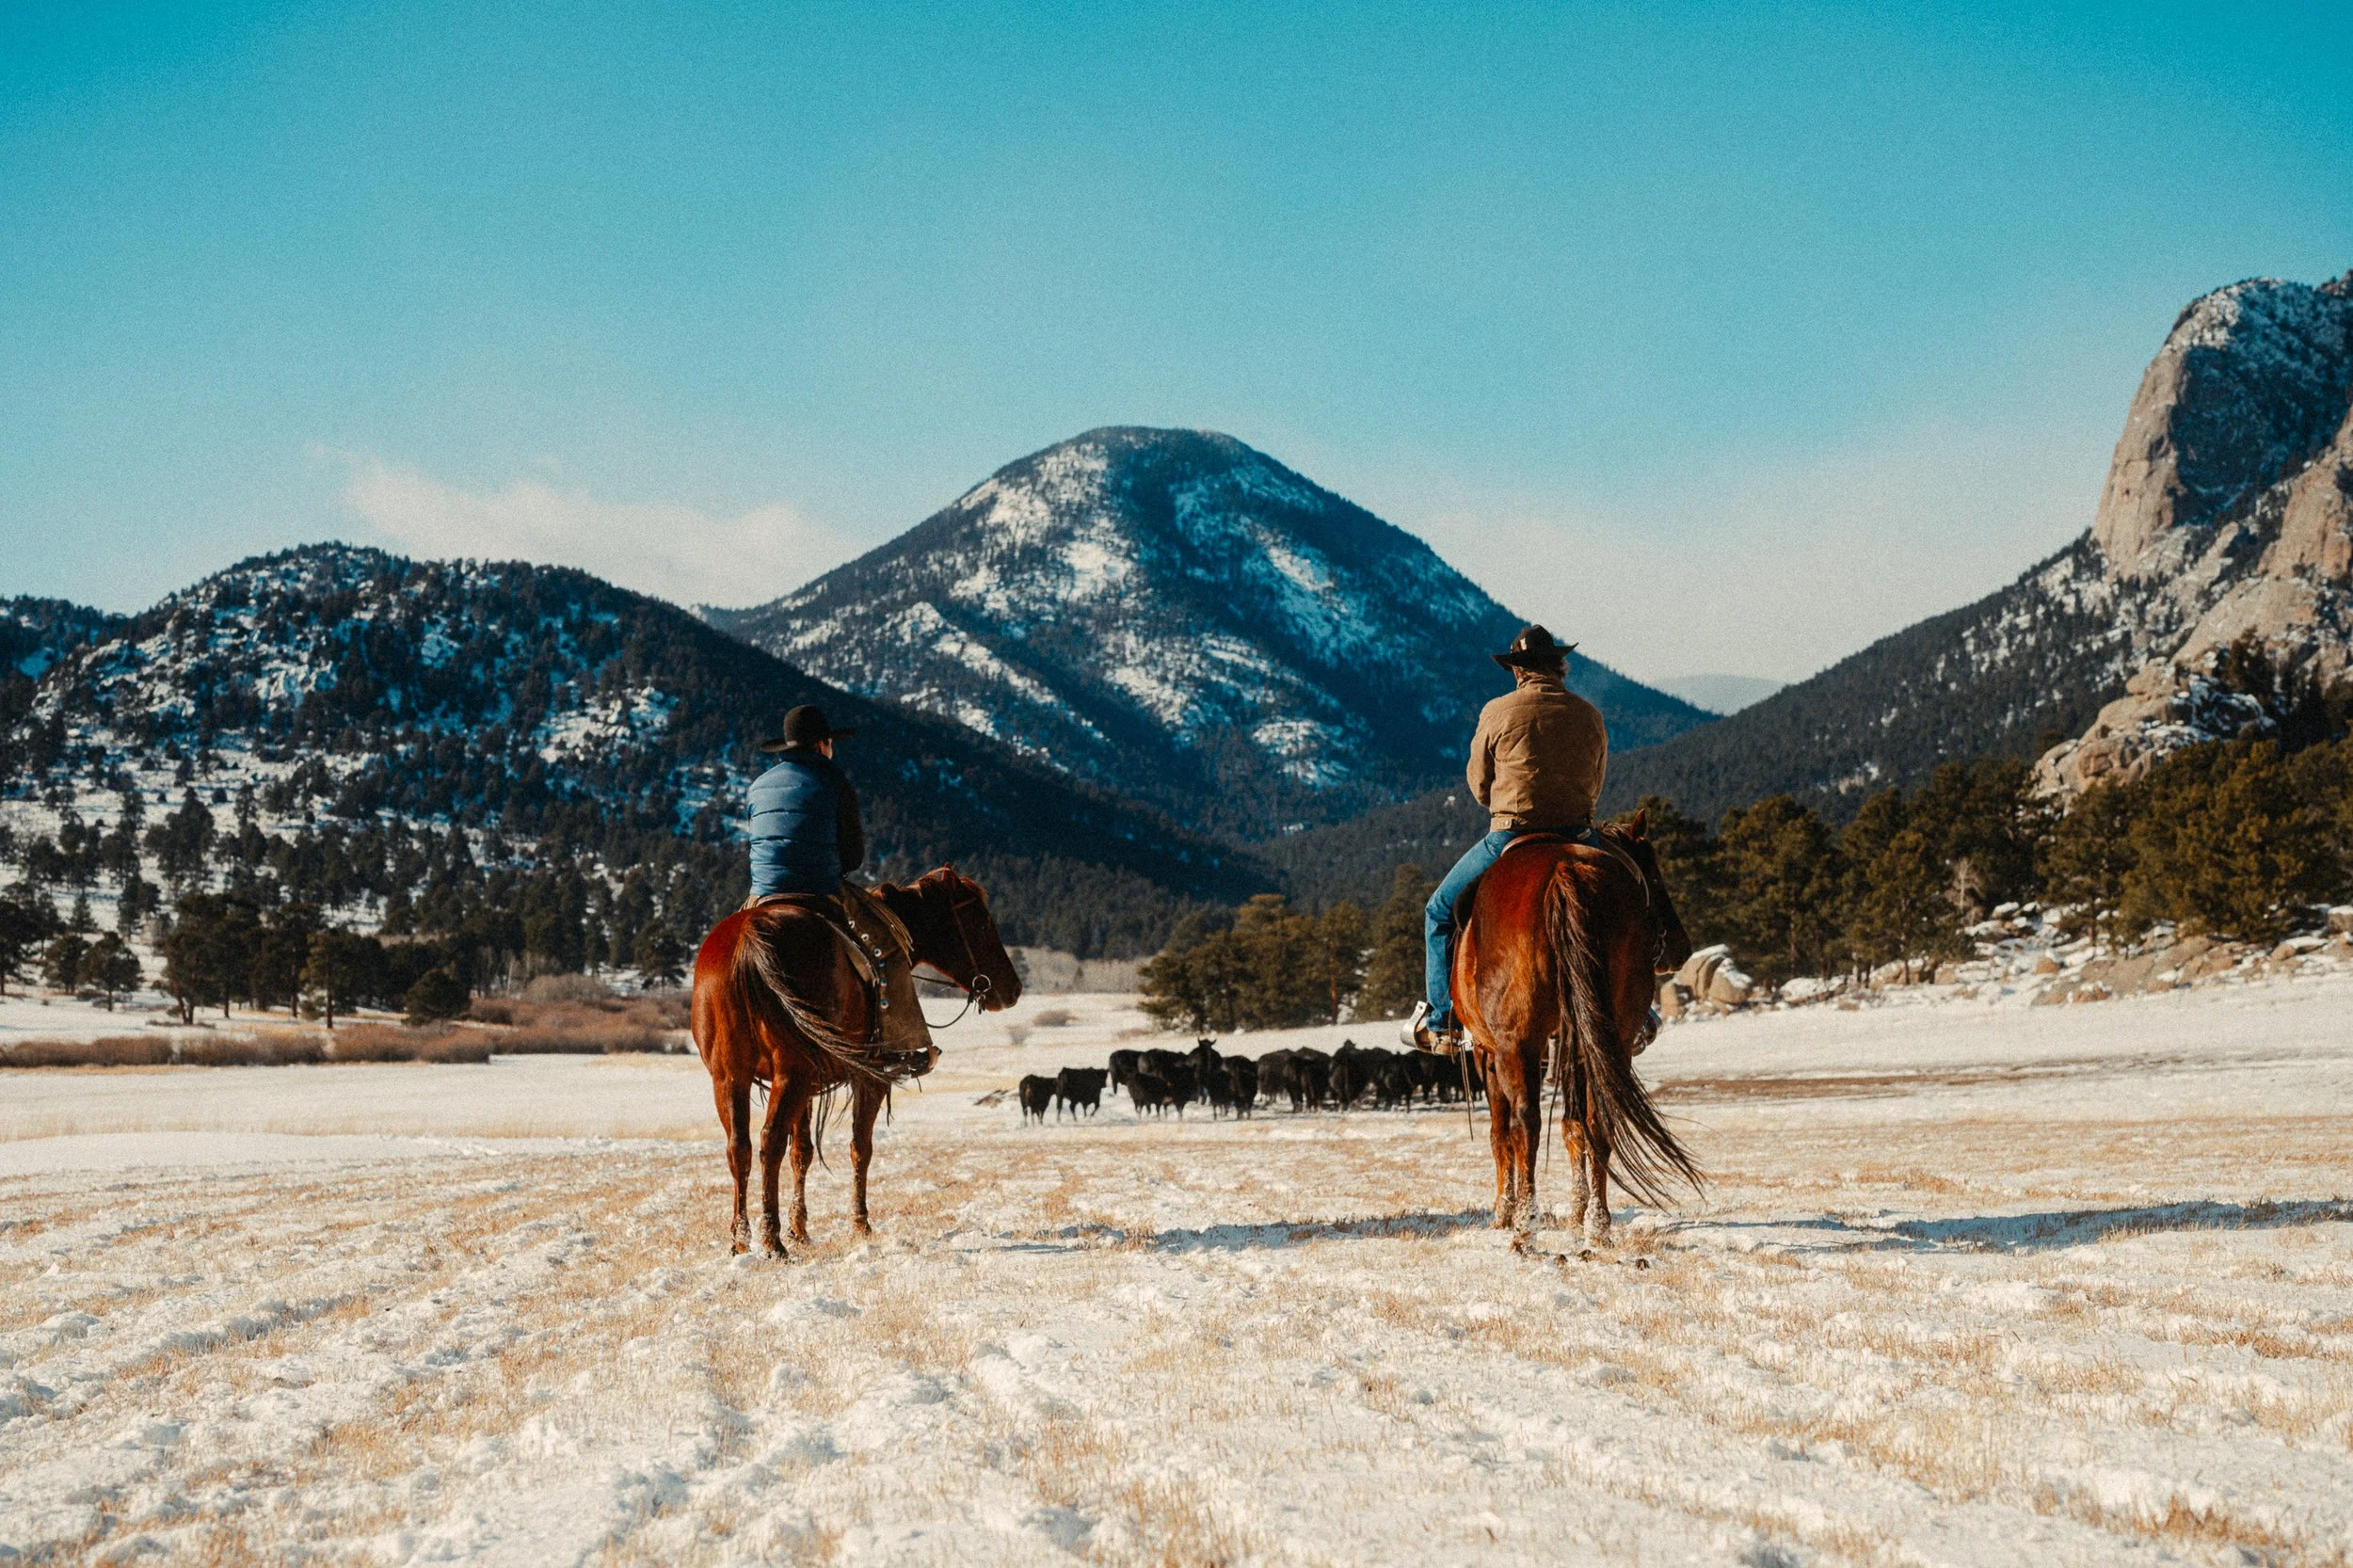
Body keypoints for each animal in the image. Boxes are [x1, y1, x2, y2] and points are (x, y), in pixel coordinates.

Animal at [691, 865, 1022, 1256]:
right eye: (981, 921)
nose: (1013, 989)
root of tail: (749, 939)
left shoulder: (805, 1085)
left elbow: (802, 1151)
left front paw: (800, 1229)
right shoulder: (868, 1079)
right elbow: (860, 1147)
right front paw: (860, 1224)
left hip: (733, 1076)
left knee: (739, 1148)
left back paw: (741, 1240)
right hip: (791, 1072)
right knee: (769, 1143)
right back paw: (771, 1240)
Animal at [1453, 811, 1699, 1250]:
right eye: (1652, 876)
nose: (1681, 949)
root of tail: (1565, 869)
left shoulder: (1488, 1051)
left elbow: (1501, 1136)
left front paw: (1502, 1213)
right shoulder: (1571, 1043)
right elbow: (1574, 1126)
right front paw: (1577, 1213)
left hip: (1517, 1044)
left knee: (1525, 1124)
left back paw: (1524, 1229)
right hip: (1608, 1035)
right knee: (1599, 1119)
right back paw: (1597, 1227)